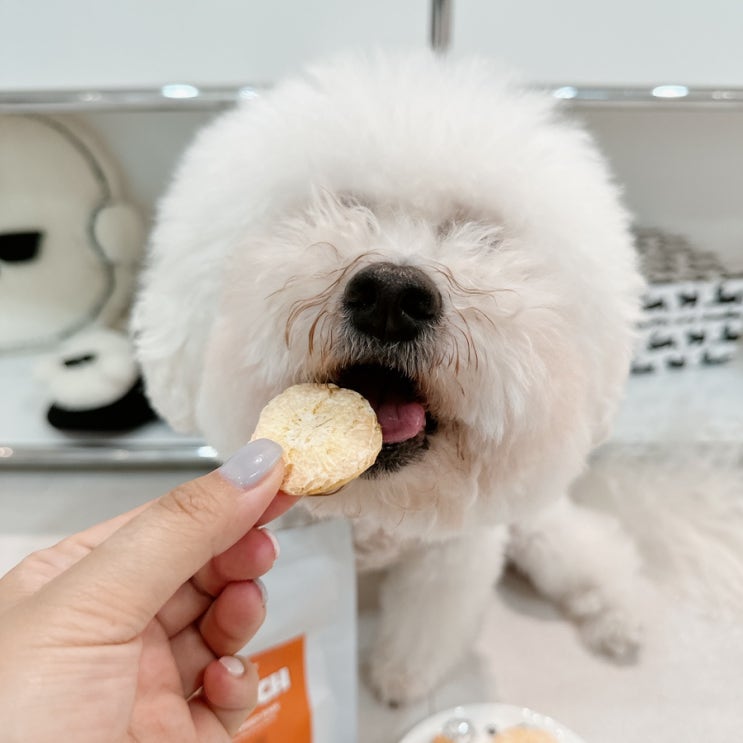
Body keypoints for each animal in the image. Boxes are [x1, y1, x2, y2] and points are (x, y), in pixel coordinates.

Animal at [133, 52, 646, 705]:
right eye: (341, 205)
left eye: (479, 231)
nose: (392, 295)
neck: (372, 513)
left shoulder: (452, 554)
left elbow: (429, 620)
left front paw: (400, 678)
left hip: (535, 524)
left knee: (586, 547)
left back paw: (621, 617)